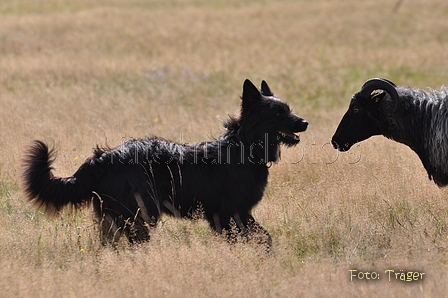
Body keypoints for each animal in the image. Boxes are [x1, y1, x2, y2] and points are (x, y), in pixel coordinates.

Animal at [21, 79, 308, 249]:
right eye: (278, 113)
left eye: (288, 109)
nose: (305, 122)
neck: (244, 146)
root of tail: (103, 157)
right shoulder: (232, 212)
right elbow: (263, 237)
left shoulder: (228, 215)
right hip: (140, 214)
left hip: (117, 216)